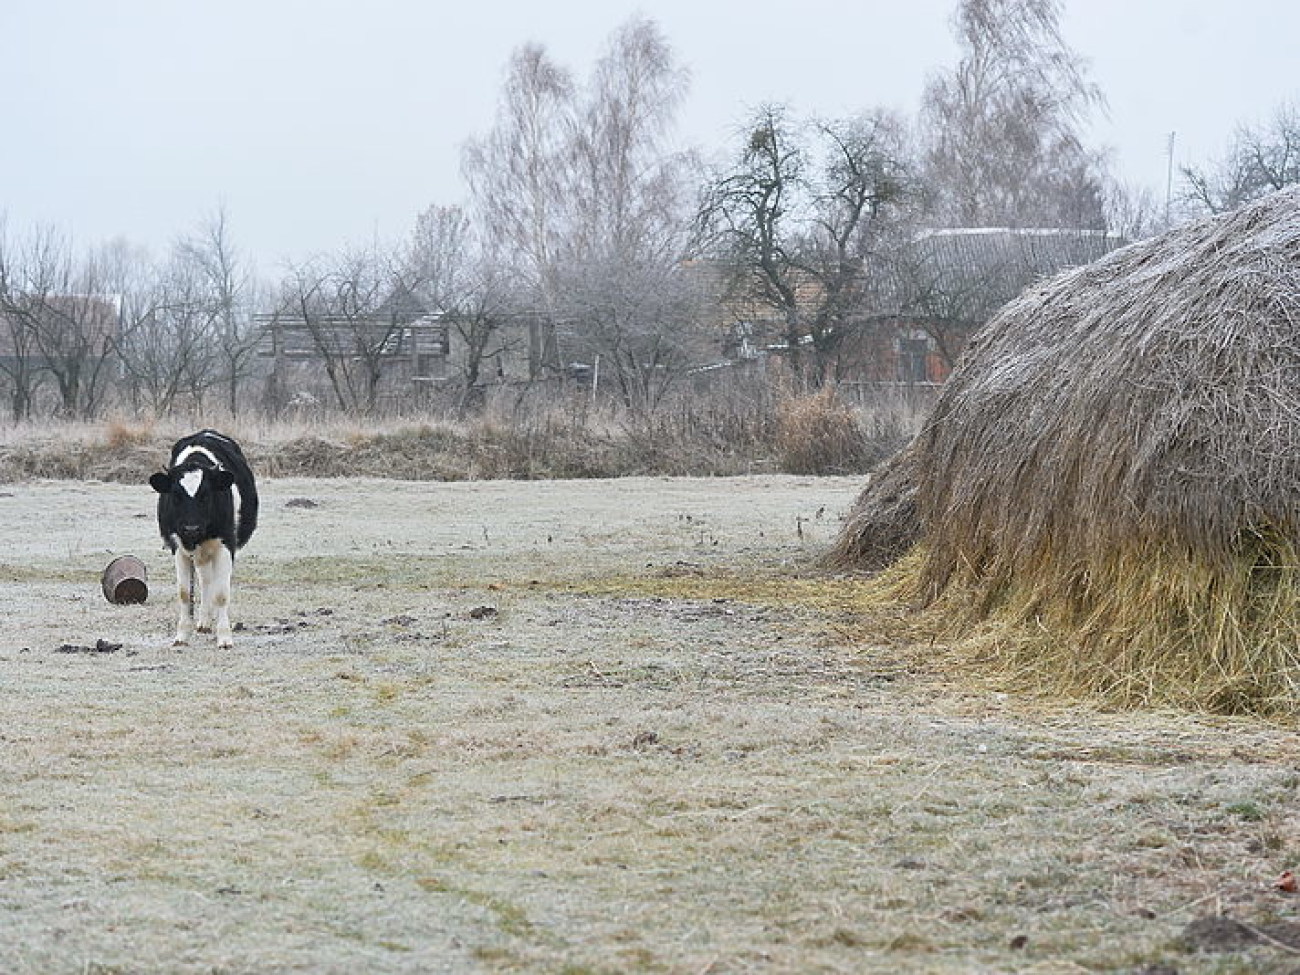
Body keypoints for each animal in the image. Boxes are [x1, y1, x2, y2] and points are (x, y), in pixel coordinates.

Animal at [148, 428, 257, 650]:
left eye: (206, 495)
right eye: (175, 495)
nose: (191, 528)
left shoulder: (226, 546)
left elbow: (222, 594)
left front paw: (224, 638)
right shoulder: (178, 548)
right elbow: (184, 593)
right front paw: (182, 635)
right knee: (205, 580)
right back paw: (204, 621)